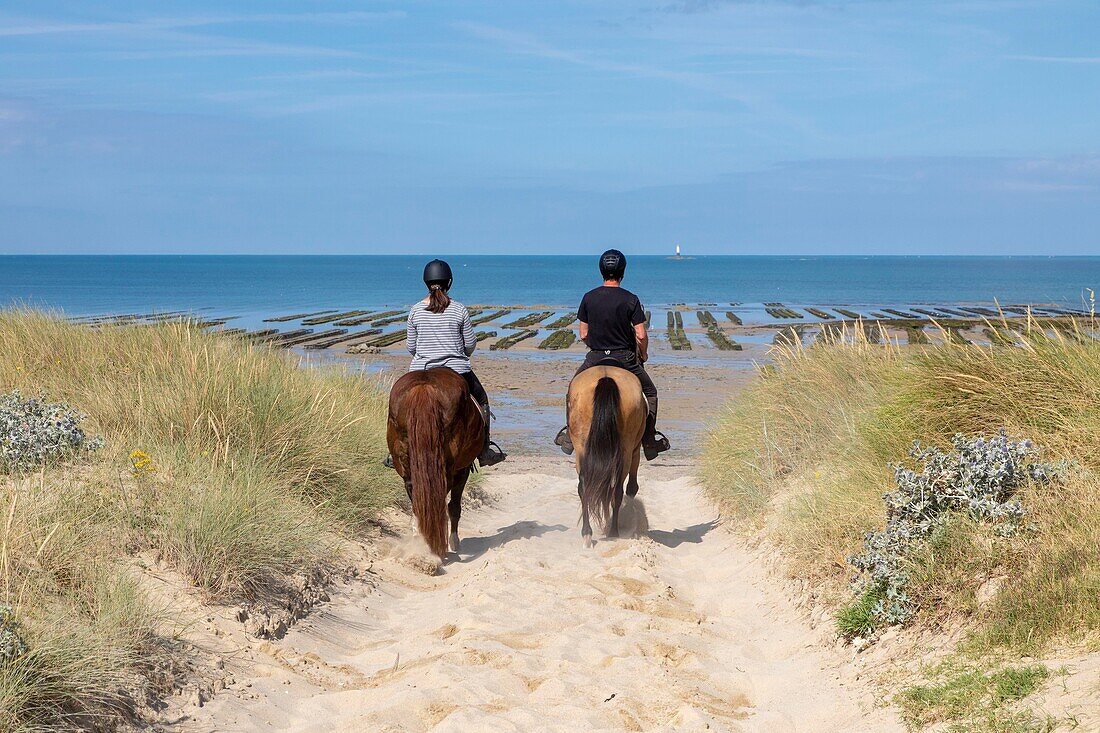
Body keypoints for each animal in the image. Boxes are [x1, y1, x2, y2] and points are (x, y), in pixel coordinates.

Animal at [391, 367, 486, 556]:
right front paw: (454, 542)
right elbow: (454, 506)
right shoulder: (463, 469)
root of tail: (424, 387)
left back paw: (421, 539)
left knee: (415, 495)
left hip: (404, 460)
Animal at [567, 363, 642, 545]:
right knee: (617, 490)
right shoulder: (635, 451)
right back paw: (613, 532)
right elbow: (632, 487)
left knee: (584, 487)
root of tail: (606, 378)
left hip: (581, 447)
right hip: (626, 451)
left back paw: (588, 532)